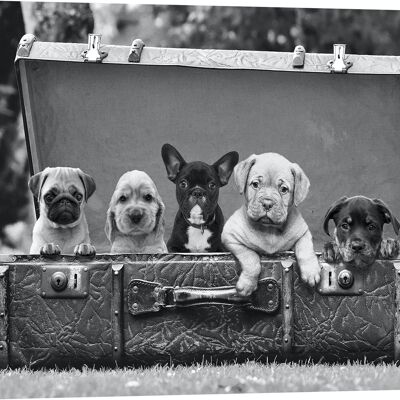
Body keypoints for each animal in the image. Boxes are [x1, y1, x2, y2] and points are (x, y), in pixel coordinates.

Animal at [220, 152, 320, 296]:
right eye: (255, 184)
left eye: (284, 189)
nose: (267, 203)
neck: (269, 229)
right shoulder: (231, 237)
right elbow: (251, 258)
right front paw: (247, 285)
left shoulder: (303, 233)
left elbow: (305, 249)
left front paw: (311, 271)